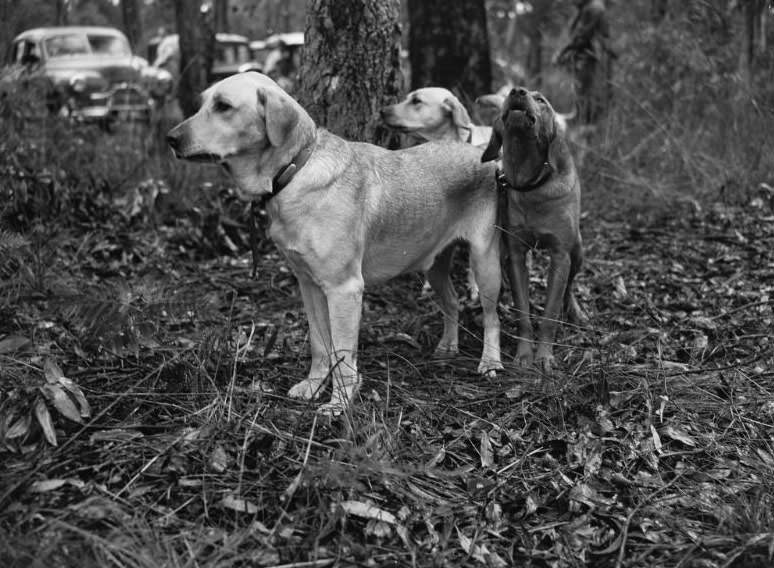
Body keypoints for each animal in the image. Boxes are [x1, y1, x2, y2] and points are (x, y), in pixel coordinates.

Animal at [167, 73, 506, 414]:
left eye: (223, 106)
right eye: (202, 103)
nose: (170, 138)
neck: (295, 171)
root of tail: (482, 155)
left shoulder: (344, 289)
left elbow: (343, 353)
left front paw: (340, 402)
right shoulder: (309, 285)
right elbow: (320, 345)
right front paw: (314, 386)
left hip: (485, 262)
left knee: (492, 317)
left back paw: (491, 363)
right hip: (434, 265)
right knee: (452, 302)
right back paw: (448, 346)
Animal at [482, 86, 584, 372]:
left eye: (541, 100)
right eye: (511, 93)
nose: (517, 90)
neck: (532, 185)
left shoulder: (560, 256)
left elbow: (549, 314)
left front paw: (545, 356)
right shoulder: (516, 255)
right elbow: (523, 313)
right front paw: (525, 354)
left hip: (578, 251)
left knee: (569, 286)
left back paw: (575, 312)